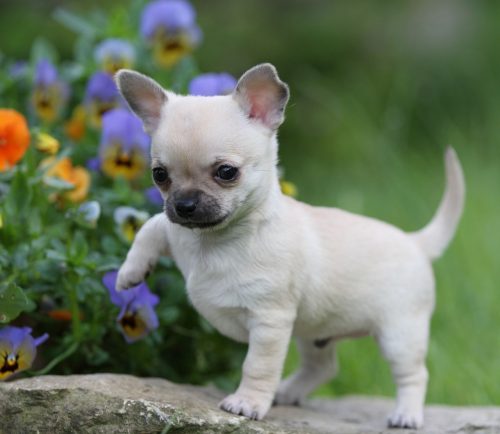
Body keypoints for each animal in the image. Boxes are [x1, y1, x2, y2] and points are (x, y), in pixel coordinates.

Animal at [113, 62, 464, 428]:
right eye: (159, 175)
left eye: (226, 172)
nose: (184, 205)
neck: (214, 239)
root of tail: (415, 241)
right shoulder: (174, 230)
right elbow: (150, 227)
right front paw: (129, 273)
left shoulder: (269, 322)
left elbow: (256, 366)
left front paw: (248, 402)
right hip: (315, 335)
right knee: (323, 367)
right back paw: (289, 391)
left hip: (400, 334)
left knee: (413, 374)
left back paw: (406, 414)